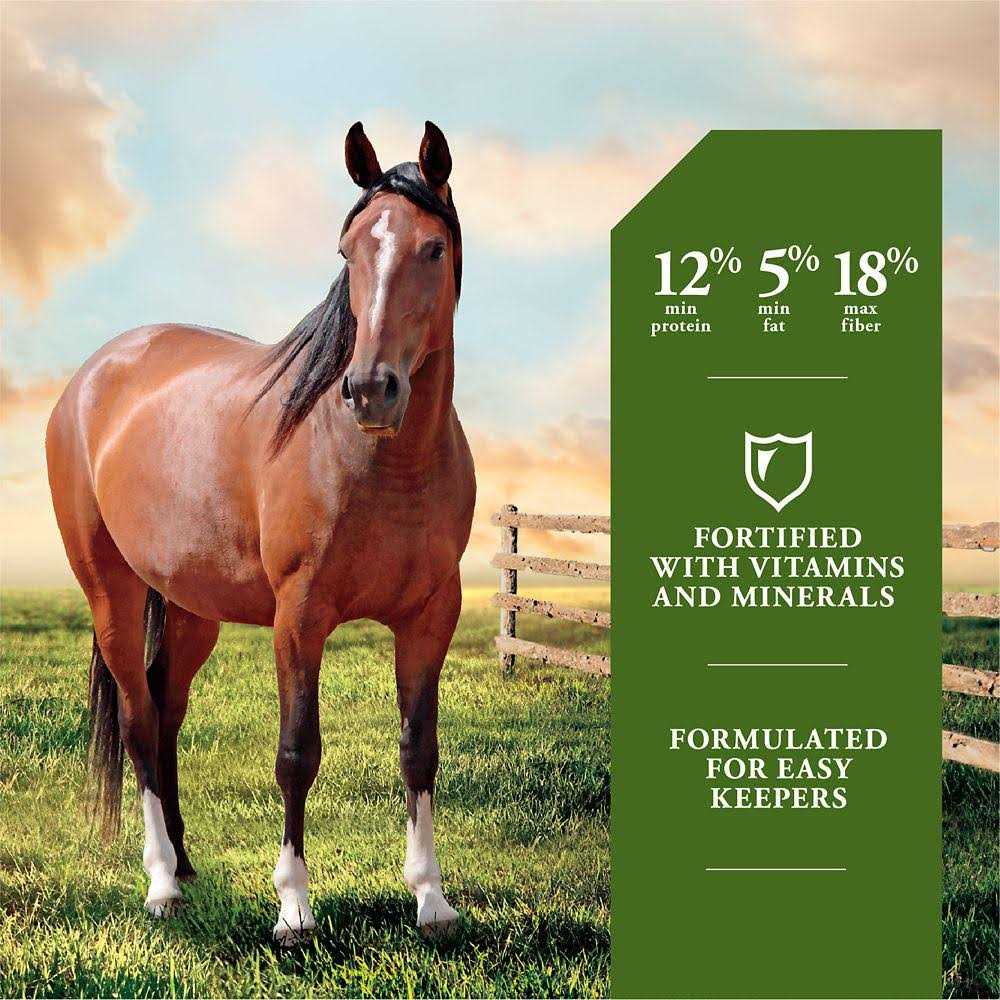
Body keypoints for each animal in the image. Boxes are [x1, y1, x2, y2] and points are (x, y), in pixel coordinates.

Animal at [45, 121, 475, 944]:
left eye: (433, 248)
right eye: (349, 252)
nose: (371, 389)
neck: (380, 460)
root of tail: (90, 377)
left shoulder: (431, 615)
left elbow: (419, 750)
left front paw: (431, 898)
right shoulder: (299, 617)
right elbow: (296, 753)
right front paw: (294, 908)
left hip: (191, 607)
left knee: (165, 708)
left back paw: (185, 865)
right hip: (111, 591)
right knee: (140, 722)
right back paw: (161, 885)